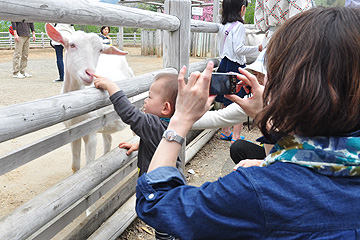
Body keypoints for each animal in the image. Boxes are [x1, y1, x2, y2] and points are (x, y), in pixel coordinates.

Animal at [46, 23, 134, 172]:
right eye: (72, 45)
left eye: (100, 50)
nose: (90, 73)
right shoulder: (73, 132)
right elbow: (75, 166)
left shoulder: (91, 132)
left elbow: (89, 165)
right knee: (108, 142)